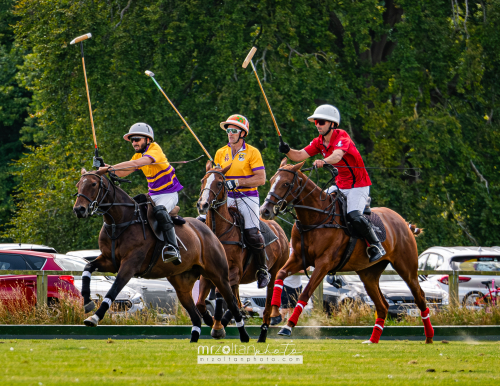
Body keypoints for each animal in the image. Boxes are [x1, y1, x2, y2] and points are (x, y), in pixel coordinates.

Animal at [71, 167, 250, 342]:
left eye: (93, 184)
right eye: (78, 184)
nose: (79, 209)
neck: (119, 221)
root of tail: (209, 231)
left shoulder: (129, 265)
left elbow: (113, 289)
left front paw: (94, 317)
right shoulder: (109, 260)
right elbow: (87, 268)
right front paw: (87, 303)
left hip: (219, 275)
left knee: (233, 303)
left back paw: (242, 335)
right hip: (182, 284)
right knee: (195, 315)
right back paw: (194, 338)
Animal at [195, 161, 290, 342]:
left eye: (220, 183)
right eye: (203, 180)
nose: (202, 205)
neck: (219, 232)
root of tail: (279, 229)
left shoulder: (234, 272)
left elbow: (221, 295)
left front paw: (217, 326)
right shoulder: (208, 274)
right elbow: (201, 303)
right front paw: (212, 322)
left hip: (274, 272)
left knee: (267, 306)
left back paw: (262, 333)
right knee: (236, 300)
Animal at [258, 159, 434, 344]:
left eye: (286, 183)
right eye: (271, 180)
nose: (265, 211)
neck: (316, 218)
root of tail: (403, 223)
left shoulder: (324, 264)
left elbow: (305, 293)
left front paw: (288, 326)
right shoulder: (299, 258)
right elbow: (280, 274)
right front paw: (275, 314)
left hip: (406, 267)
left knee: (420, 296)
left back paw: (429, 337)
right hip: (368, 274)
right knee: (383, 305)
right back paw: (373, 340)